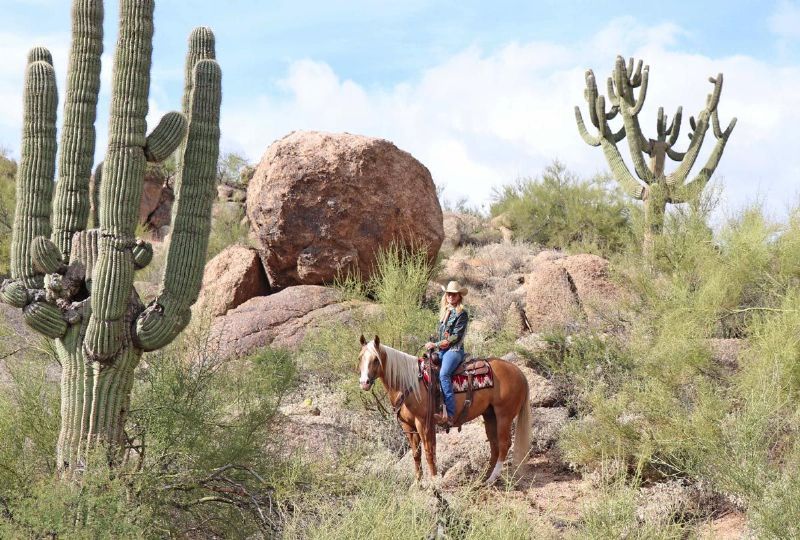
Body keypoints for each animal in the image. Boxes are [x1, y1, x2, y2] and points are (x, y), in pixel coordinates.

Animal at [357, 334, 531, 486]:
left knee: (504, 444)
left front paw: (434, 481)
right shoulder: (408, 426)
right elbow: (416, 454)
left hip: (504, 415)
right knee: (494, 446)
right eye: (360, 358)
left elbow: (429, 452)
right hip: (490, 415)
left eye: (375, 360)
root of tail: (519, 372)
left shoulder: (423, 423)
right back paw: (483, 477)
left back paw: (491, 478)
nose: (364, 383)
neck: (409, 384)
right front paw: (418, 483)